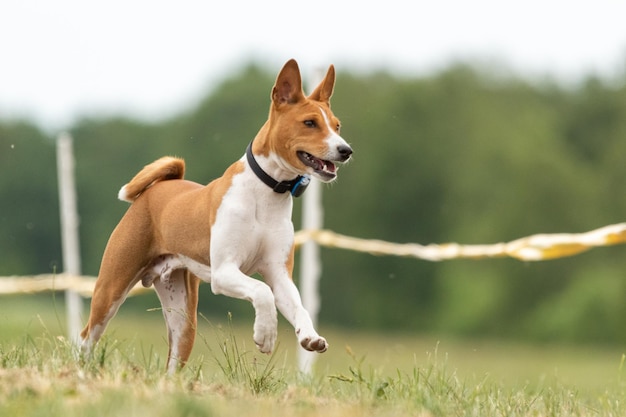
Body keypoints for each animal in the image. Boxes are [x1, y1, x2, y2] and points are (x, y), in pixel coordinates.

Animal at [80, 59, 352, 374]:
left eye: (336, 126)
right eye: (309, 123)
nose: (346, 150)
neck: (266, 194)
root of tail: (159, 187)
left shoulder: (279, 274)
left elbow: (298, 306)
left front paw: (309, 336)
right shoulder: (225, 271)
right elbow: (262, 292)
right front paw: (266, 334)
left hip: (184, 318)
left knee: (173, 362)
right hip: (110, 290)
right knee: (86, 337)